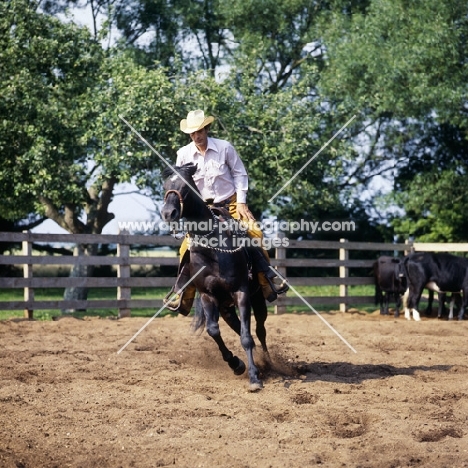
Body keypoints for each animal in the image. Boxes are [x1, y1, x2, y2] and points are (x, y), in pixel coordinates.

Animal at [161, 163, 268, 390]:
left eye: (185, 186)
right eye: (165, 186)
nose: (167, 213)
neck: (212, 250)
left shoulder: (241, 292)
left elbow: (247, 336)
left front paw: (254, 378)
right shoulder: (207, 296)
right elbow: (213, 330)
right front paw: (236, 364)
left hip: (257, 298)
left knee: (260, 330)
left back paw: (269, 361)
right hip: (226, 307)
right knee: (237, 326)